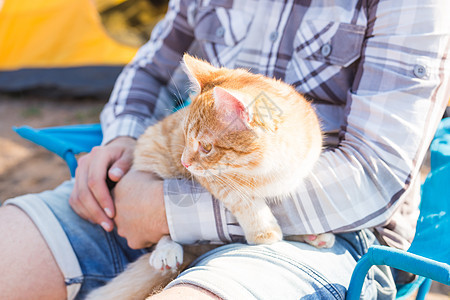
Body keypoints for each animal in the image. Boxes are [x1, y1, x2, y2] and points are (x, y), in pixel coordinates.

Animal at [87, 54, 334, 300]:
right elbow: (243, 201)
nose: (185, 162)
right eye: (185, 136)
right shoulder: (213, 179)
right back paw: (166, 249)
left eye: (206, 147)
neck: (264, 171)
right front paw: (264, 232)